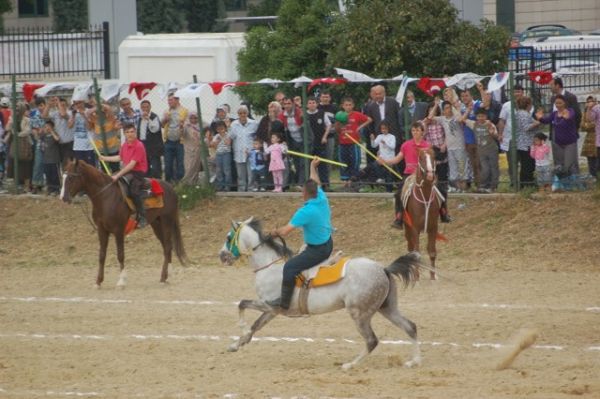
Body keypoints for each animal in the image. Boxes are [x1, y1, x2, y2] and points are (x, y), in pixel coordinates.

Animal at [60, 159, 188, 288]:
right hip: (156, 224)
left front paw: (121, 280)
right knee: (167, 246)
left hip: (167, 221)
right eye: (63, 176)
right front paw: (98, 282)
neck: (106, 197)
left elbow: (120, 254)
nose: (63, 197)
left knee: (167, 246)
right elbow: (102, 255)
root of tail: (171, 188)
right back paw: (166, 275)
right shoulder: (102, 230)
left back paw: (164, 276)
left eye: (71, 177)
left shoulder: (118, 230)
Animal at [219, 217, 422, 370]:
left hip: (359, 313)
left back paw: (349, 365)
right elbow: (255, 326)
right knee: (410, 327)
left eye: (229, 238)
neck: (269, 266)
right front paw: (236, 344)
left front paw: (241, 329)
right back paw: (413, 361)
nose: (221, 256)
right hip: (387, 308)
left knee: (372, 340)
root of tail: (383, 269)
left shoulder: (269, 305)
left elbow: (242, 304)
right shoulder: (272, 310)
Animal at [404, 148, 446, 282]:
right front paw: (416, 276)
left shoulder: (433, 228)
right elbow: (416, 252)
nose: (430, 175)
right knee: (410, 248)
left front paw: (433, 275)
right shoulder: (414, 229)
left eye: (434, 157)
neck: (425, 197)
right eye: (421, 158)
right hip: (407, 229)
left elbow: (432, 252)